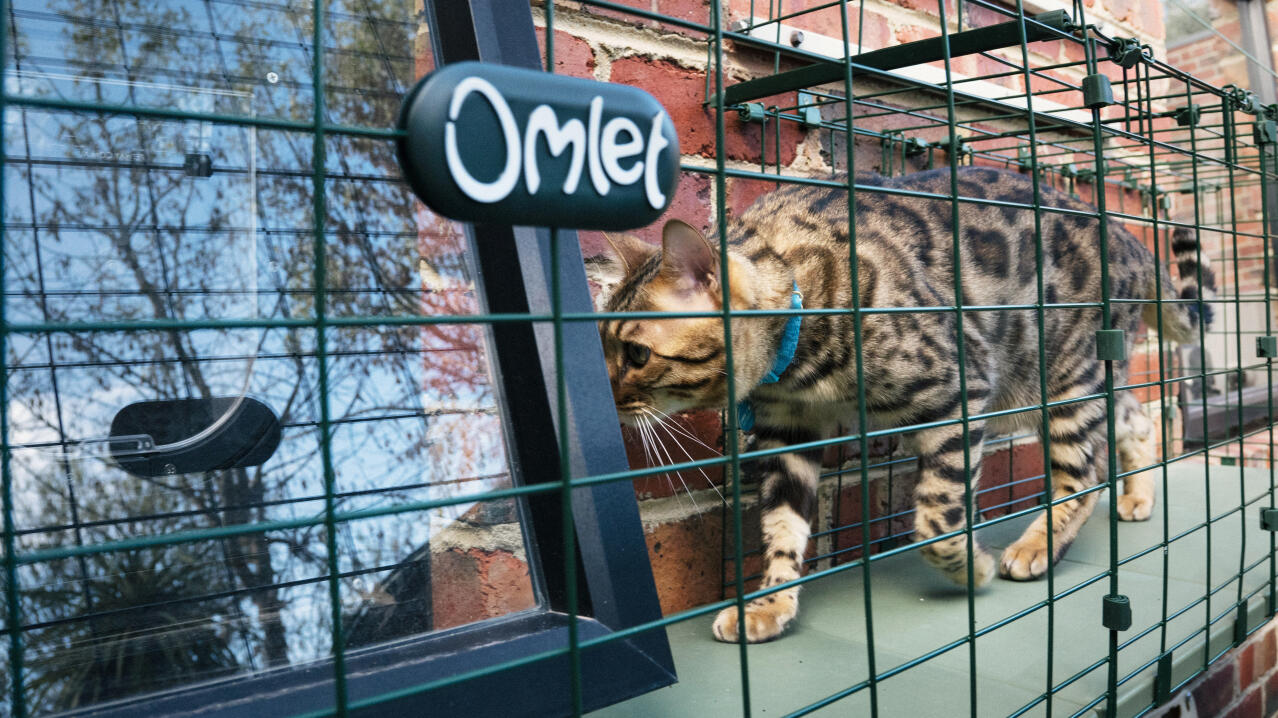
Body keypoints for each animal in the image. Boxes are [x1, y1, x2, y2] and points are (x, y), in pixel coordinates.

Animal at [585, 167, 1211, 643]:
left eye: (636, 353)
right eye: (601, 345)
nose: (609, 400)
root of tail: (1131, 240)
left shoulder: (960, 388)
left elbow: (935, 517)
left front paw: (972, 569)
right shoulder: (787, 434)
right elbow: (782, 527)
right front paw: (770, 604)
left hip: (1063, 381)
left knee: (1083, 473)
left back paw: (1038, 546)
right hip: (1072, 383)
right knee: (1135, 418)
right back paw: (1138, 496)